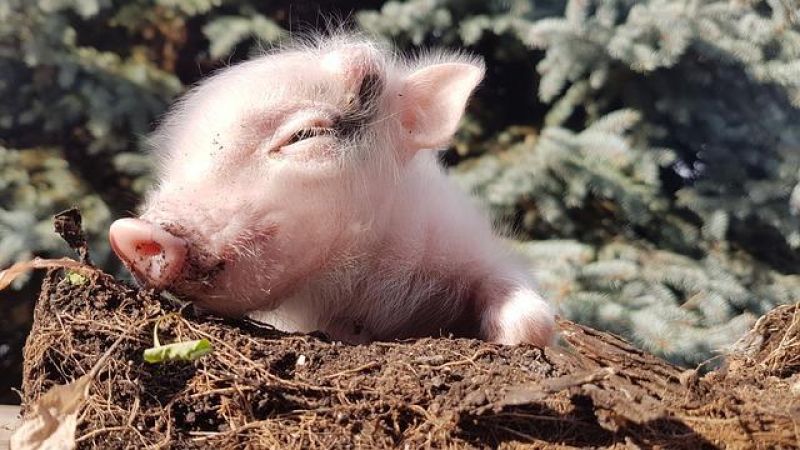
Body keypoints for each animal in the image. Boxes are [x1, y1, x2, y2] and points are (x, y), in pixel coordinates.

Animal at [108, 35, 555, 346]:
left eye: (303, 135)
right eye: (174, 161)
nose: (130, 233)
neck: (359, 296)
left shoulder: (474, 244)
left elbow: (532, 321)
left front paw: (513, 336)